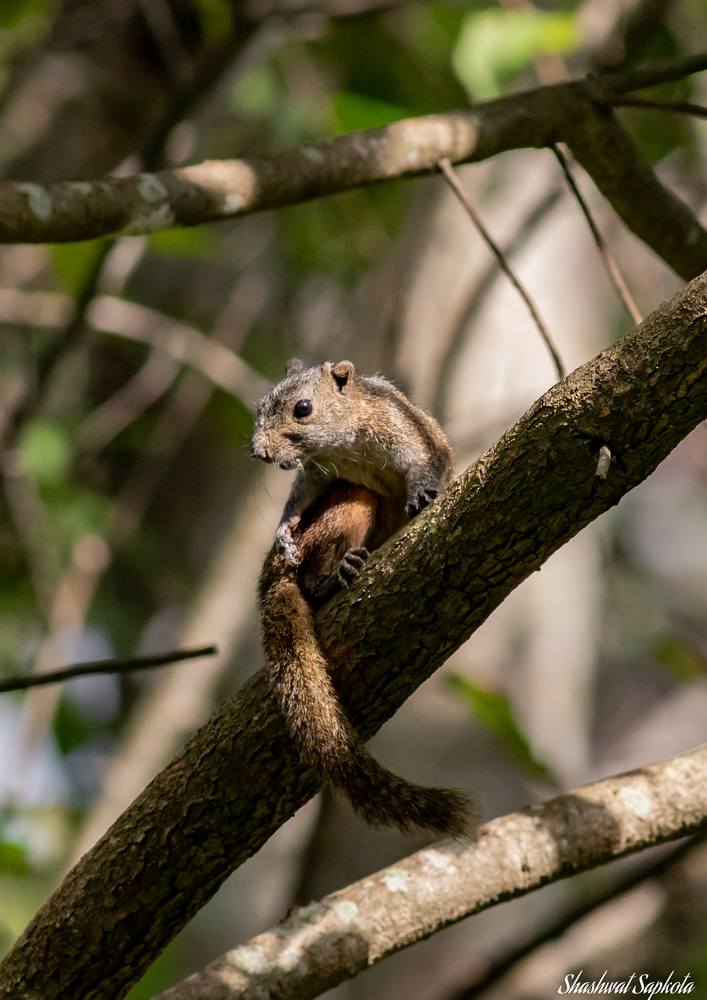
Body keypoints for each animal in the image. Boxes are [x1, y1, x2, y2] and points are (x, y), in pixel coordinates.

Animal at [252, 358, 477, 837]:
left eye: (303, 408)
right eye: (261, 405)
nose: (259, 452)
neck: (345, 440)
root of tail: (270, 582)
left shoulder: (406, 431)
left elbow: (428, 463)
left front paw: (422, 492)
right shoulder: (315, 474)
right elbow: (297, 501)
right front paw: (284, 529)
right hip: (351, 500)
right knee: (309, 575)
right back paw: (332, 576)